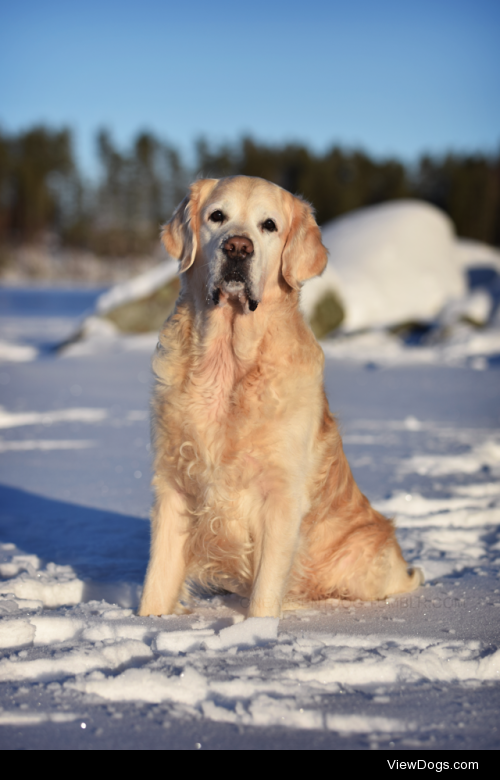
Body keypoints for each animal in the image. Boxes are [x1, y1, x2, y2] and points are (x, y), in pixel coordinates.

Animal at [138, 175, 422, 616]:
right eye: (216, 216)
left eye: (268, 225)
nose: (238, 247)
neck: (227, 366)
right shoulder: (174, 487)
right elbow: (156, 583)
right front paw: (149, 622)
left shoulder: (281, 497)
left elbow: (264, 595)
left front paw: (256, 630)